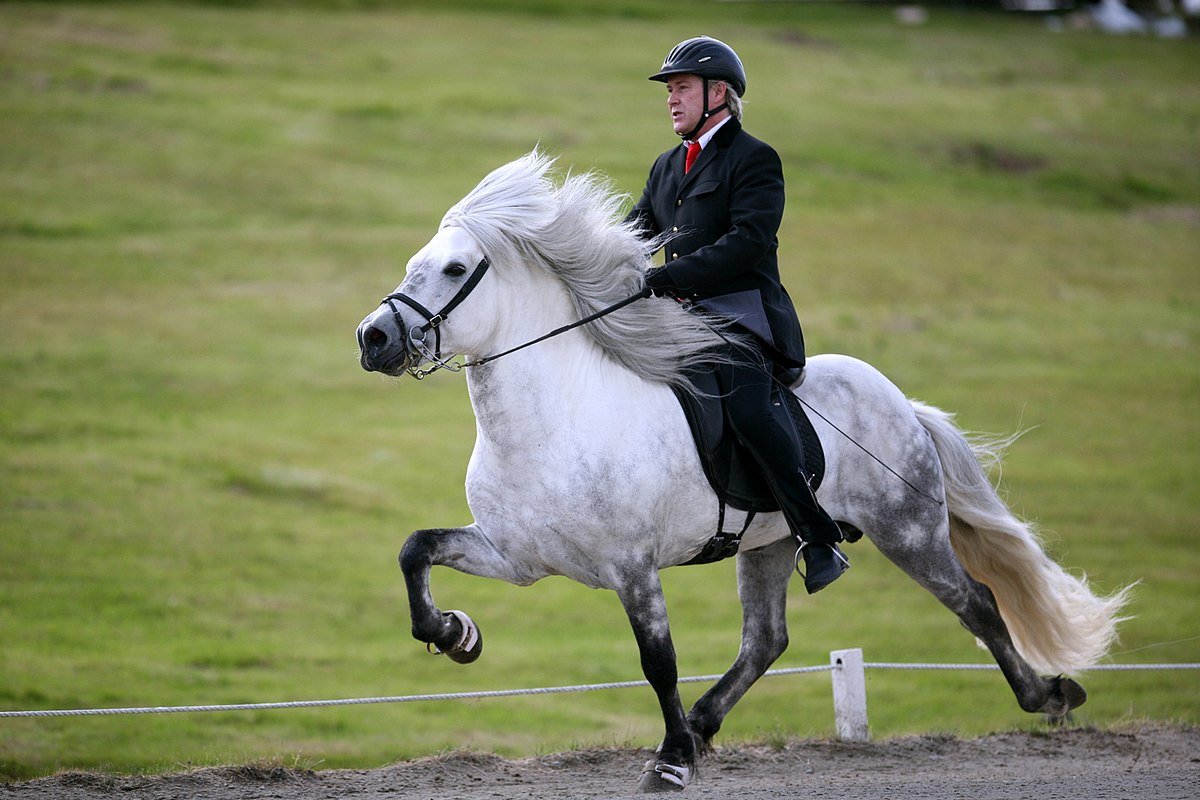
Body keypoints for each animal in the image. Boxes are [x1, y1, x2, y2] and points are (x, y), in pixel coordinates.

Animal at [350, 151, 1128, 796]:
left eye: (455, 270)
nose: (373, 338)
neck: (553, 421)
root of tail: (901, 401)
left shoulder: (632, 567)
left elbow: (658, 660)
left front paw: (668, 762)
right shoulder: (516, 557)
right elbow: (415, 549)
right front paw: (455, 634)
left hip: (906, 529)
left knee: (977, 602)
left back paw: (1048, 697)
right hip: (774, 541)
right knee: (767, 640)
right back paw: (703, 722)